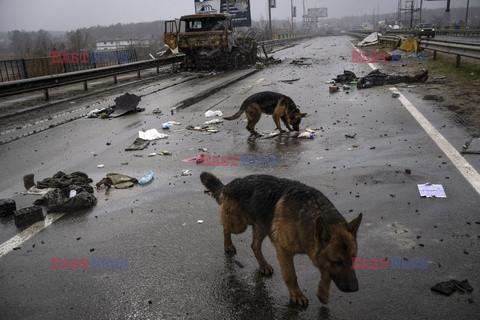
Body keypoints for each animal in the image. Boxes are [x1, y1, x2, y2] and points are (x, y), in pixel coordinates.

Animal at [201, 171, 362, 306]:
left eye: (353, 258)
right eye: (337, 261)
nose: (355, 288)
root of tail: (232, 183)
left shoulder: (317, 253)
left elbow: (326, 272)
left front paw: (323, 291)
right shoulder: (284, 251)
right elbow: (291, 276)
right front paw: (297, 295)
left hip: (262, 226)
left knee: (254, 245)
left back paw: (263, 265)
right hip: (239, 224)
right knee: (225, 227)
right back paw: (228, 245)